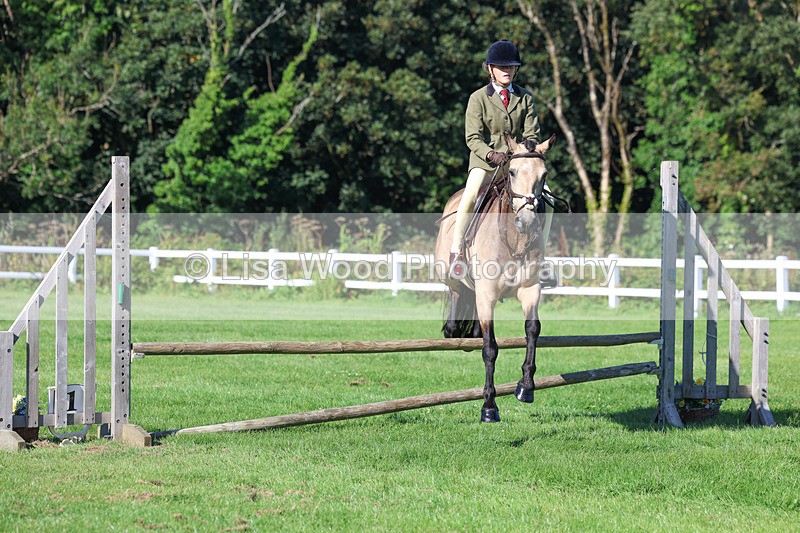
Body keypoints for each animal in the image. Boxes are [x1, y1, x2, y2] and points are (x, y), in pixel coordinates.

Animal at [434, 133, 556, 423]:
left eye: (544, 175)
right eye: (512, 171)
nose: (527, 221)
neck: (515, 236)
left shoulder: (530, 289)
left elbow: (532, 330)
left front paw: (526, 387)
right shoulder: (487, 294)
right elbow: (490, 349)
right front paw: (489, 406)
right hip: (452, 275)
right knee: (456, 295)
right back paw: (454, 329)